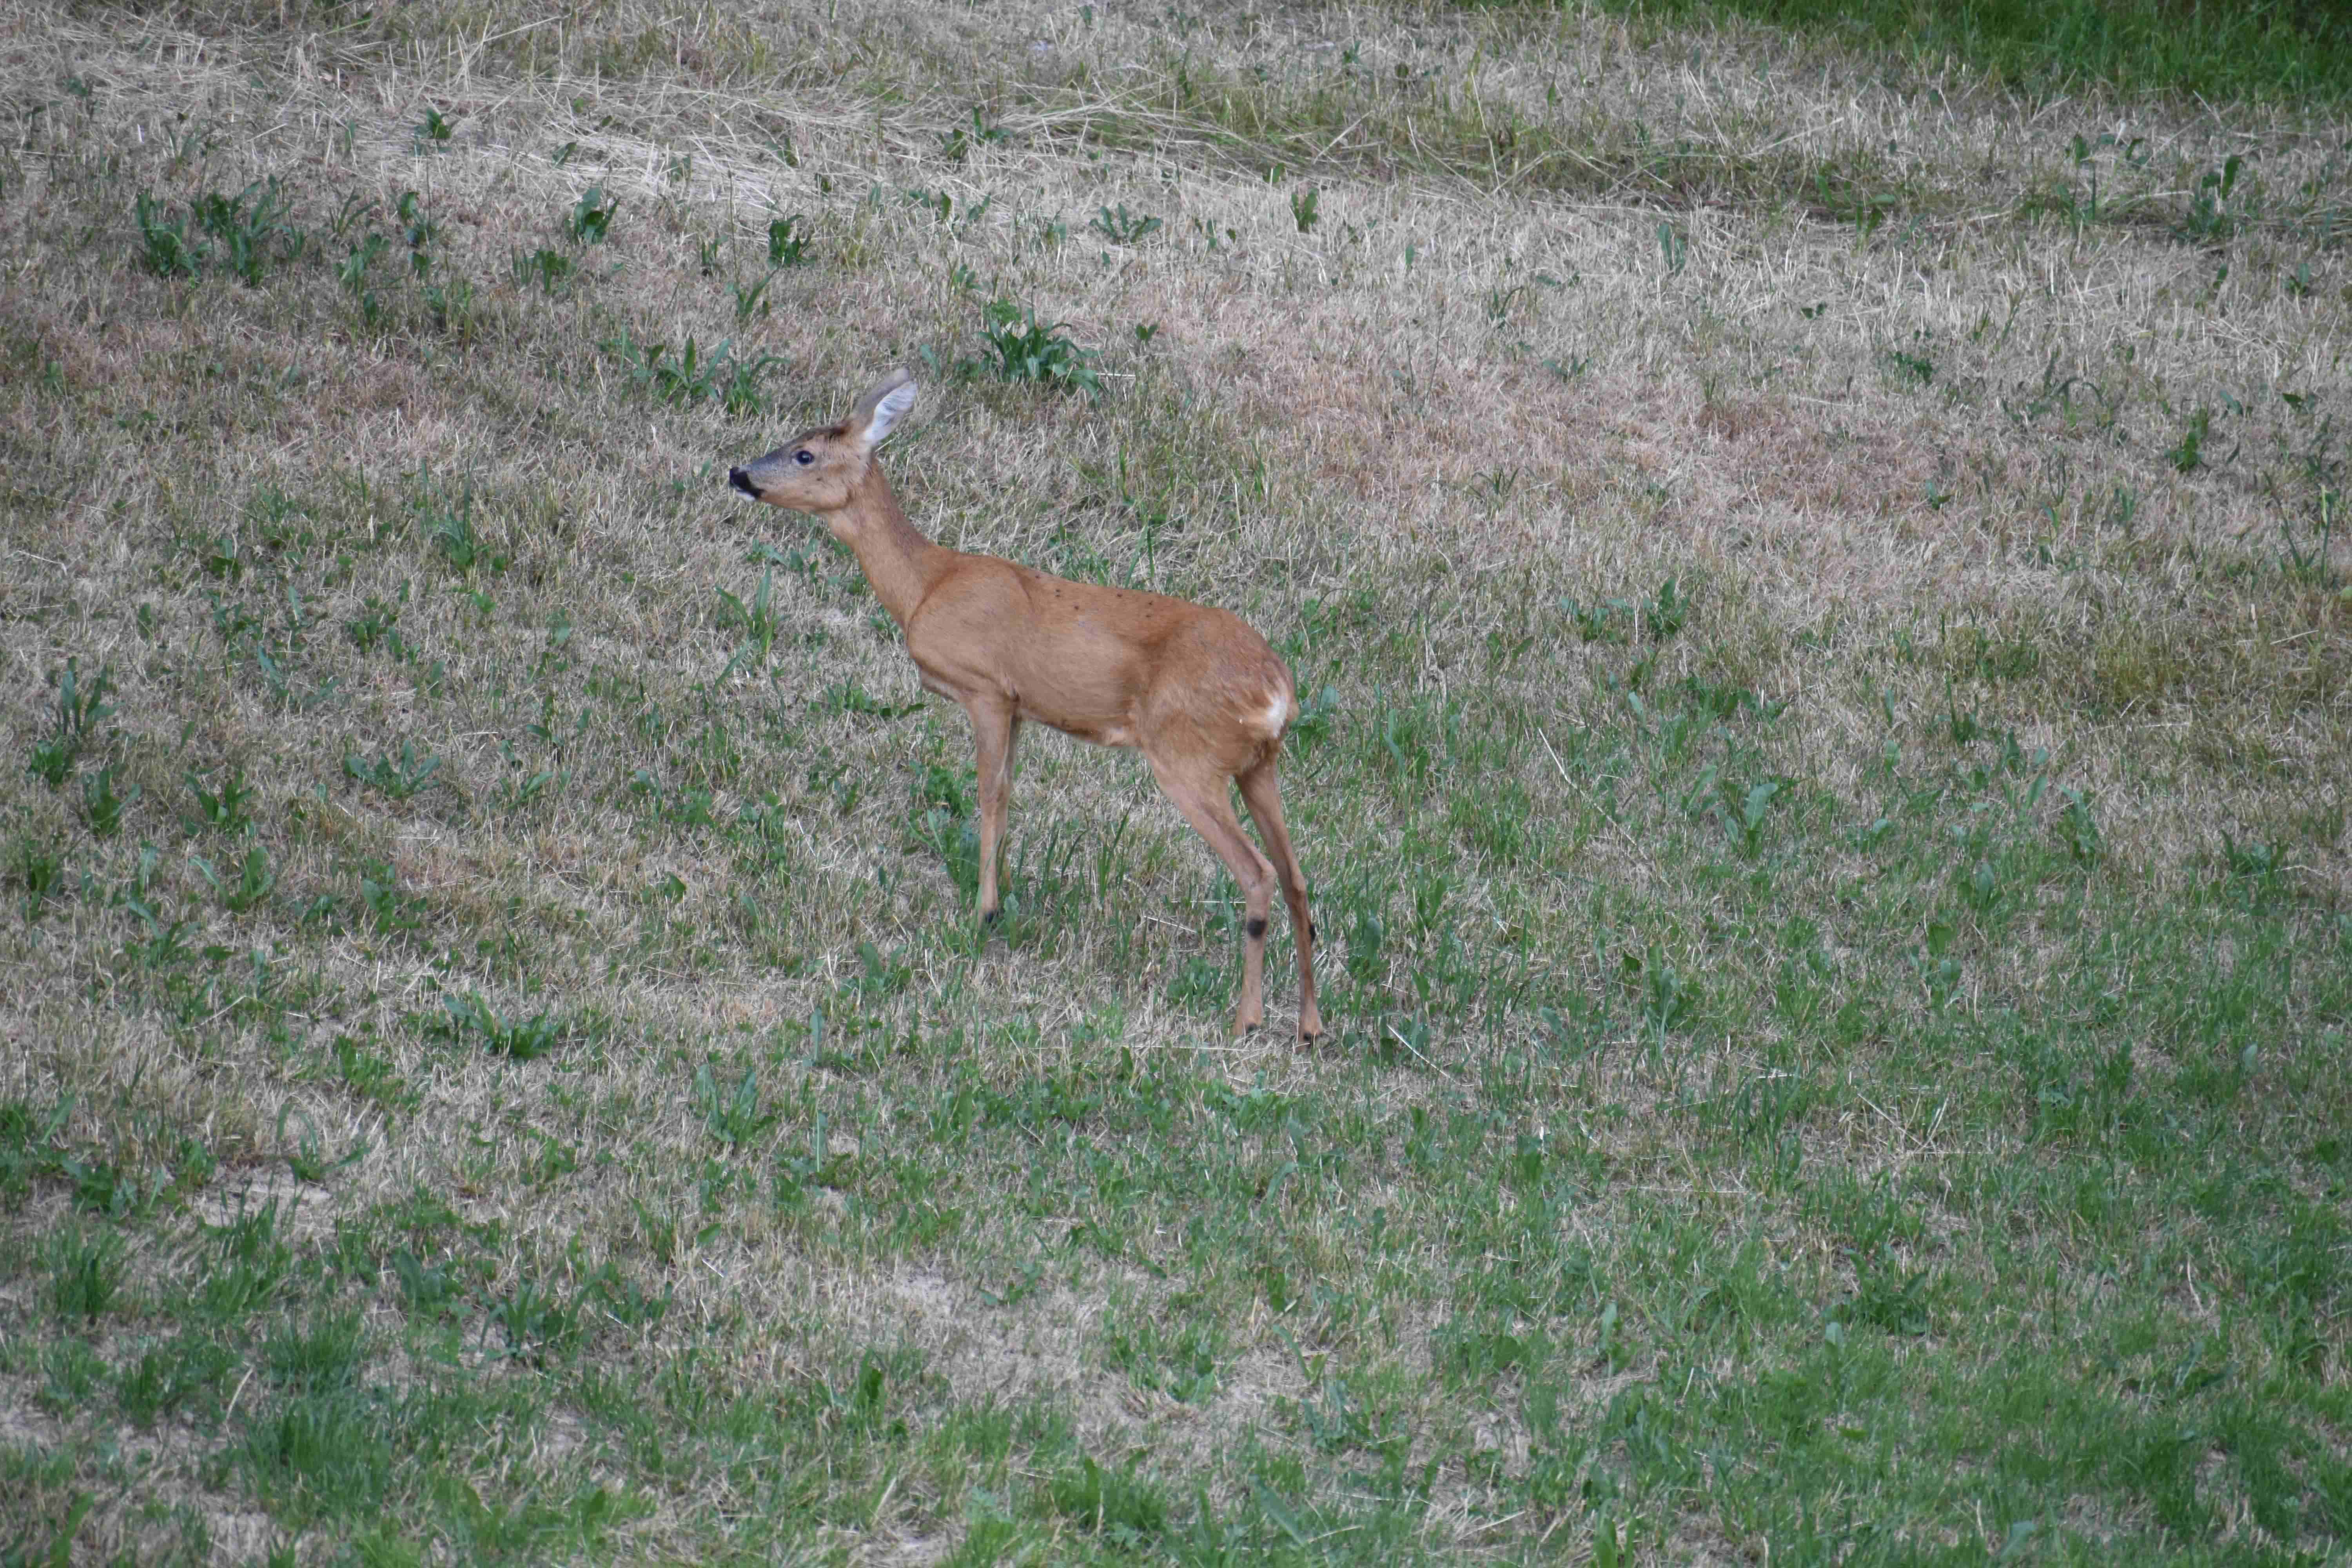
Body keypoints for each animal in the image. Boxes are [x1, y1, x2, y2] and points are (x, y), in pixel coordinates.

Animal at [729, 371, 1327, 1044]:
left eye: (805, 453)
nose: (738, 473)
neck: (924, 588)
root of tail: (1279, 690)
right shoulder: (1020, 708)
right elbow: (1011, 793)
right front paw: (1005, 896)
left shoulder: (986, 688)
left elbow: (988, 793)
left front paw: (983, 912)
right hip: (1258, 764)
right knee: (1298, 878)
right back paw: (1309, 1026)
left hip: (1187, 758)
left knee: (1258, 873)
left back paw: (1247, 1018)